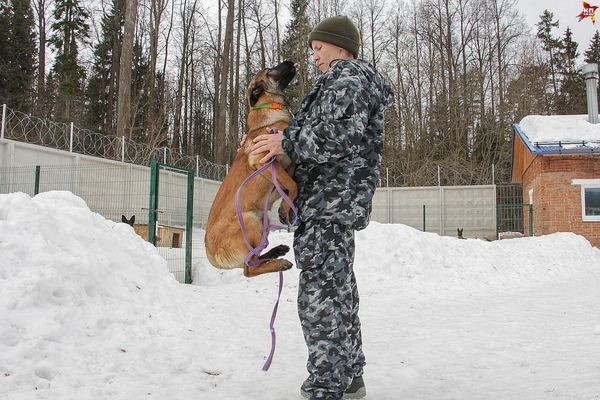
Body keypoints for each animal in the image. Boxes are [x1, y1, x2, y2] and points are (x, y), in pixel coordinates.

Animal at [205, 59, 298, 278]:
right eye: (270, 70)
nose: (290, 60)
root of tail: (210, 253)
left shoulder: (288, 163)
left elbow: (290, 184)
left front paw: (284, 209)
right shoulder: (263, 161)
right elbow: (293, 184)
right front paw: (286, 208)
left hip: (261, 221)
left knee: (253, 260)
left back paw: (276, 252)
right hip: (250, 221)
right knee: (249, 269)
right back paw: (279, 262)